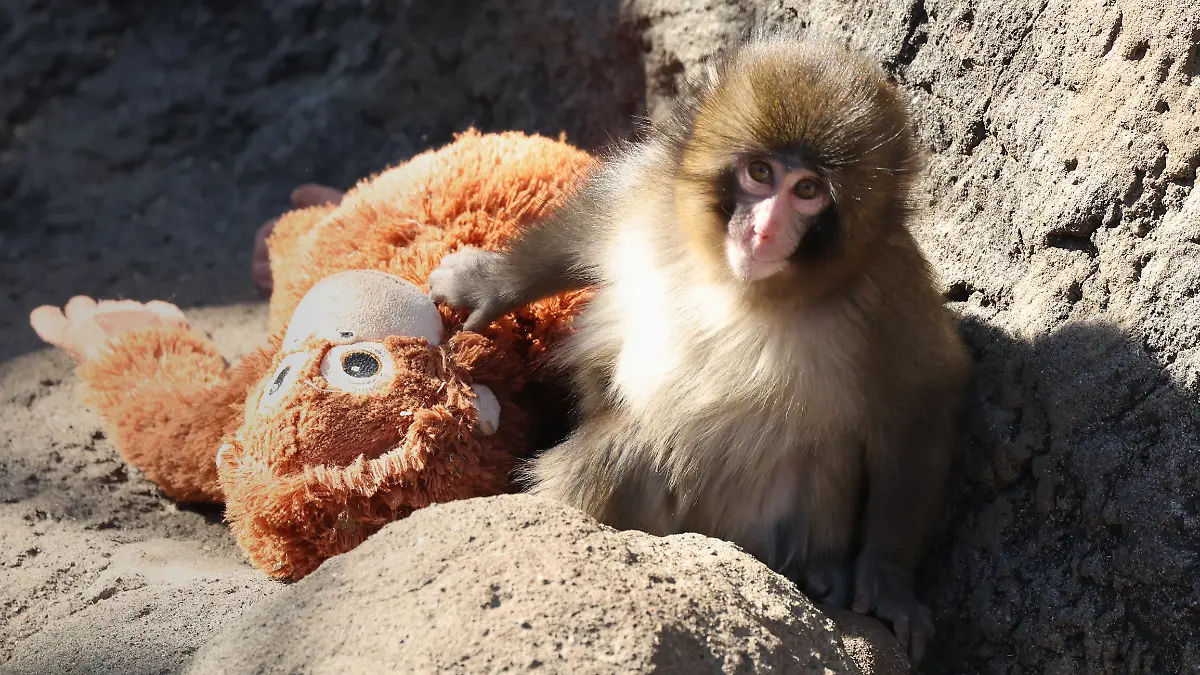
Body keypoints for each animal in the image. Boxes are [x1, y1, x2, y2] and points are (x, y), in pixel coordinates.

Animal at [428, 33, 970, 663]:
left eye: (807, 190)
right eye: (760, 172)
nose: (763, 231)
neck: (740, 286)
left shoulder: (888, 292)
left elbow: (923, 399)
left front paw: (888, 579)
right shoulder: (650, 195)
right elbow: (587, 225)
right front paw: (489, 283)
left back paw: (824, 571)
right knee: (623, 450)